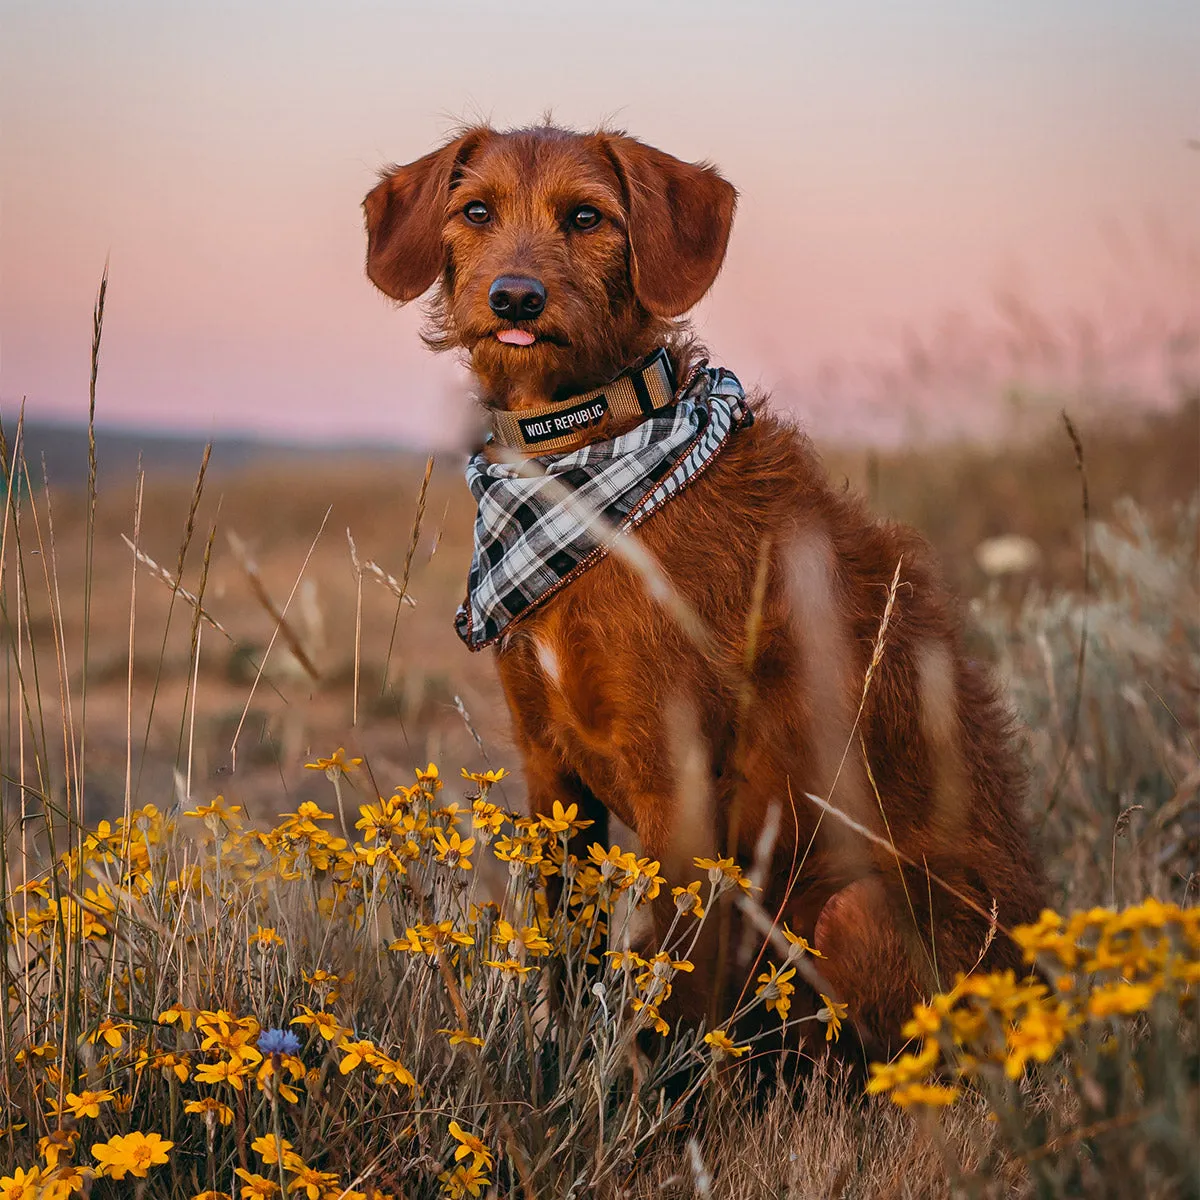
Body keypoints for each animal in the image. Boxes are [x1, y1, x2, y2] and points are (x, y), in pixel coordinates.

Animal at [360, 124, 1046, 1060]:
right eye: (474, 211)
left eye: (587, 217)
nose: (515, 299)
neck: (580, 468)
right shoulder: (549, 771)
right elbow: (567, 954)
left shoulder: (676, 780)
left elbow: (675, 997)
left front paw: (658, 1096)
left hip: (854, 911)